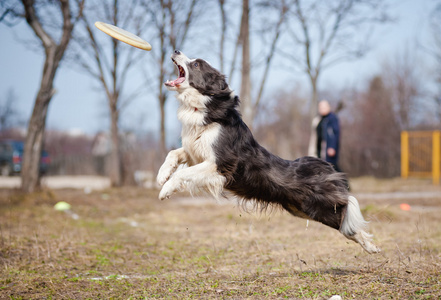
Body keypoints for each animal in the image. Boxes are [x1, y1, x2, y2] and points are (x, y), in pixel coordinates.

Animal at [157, 50, 378, 254]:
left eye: (196, 64)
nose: (176, 50)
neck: (204, 106)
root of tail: (324, 165)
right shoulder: (195, 152)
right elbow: (173, 154)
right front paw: (161, 176)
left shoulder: (220, 164)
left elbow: (183, 173)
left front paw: (165, 190)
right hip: (301, 209)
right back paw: (370, 246)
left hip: (318, 207)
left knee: (346, 214)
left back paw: (372, 247)